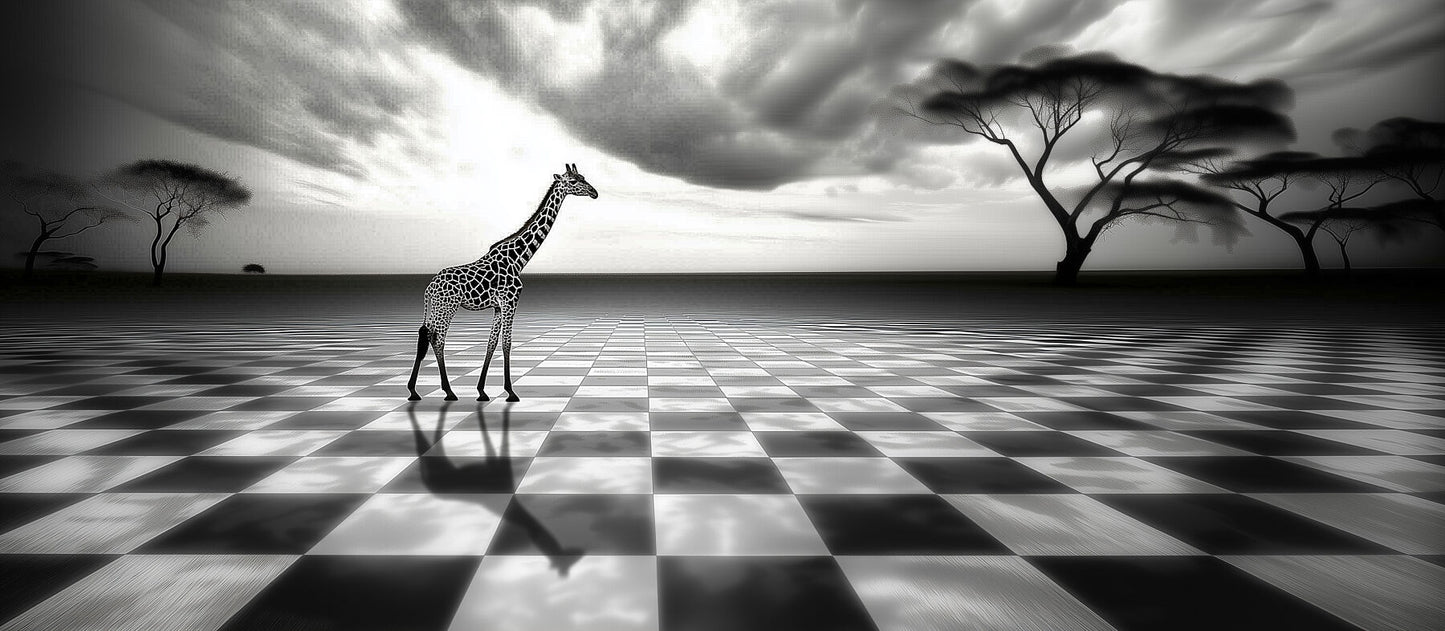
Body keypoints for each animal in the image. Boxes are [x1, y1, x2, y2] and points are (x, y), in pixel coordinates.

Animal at [407, 163, 598, 401]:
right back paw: (448, 391)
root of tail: (429, 287)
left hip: (437, 307)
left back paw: (414, 390)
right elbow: (507, 343)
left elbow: (491, 343)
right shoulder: (510, 302)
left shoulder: (498, 306)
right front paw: (510, 391)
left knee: (425, 334)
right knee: (438, 339)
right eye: (573, 181)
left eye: (583, 177)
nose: (594, 192)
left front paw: (482, 391)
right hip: (447, 307)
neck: (518, 259)